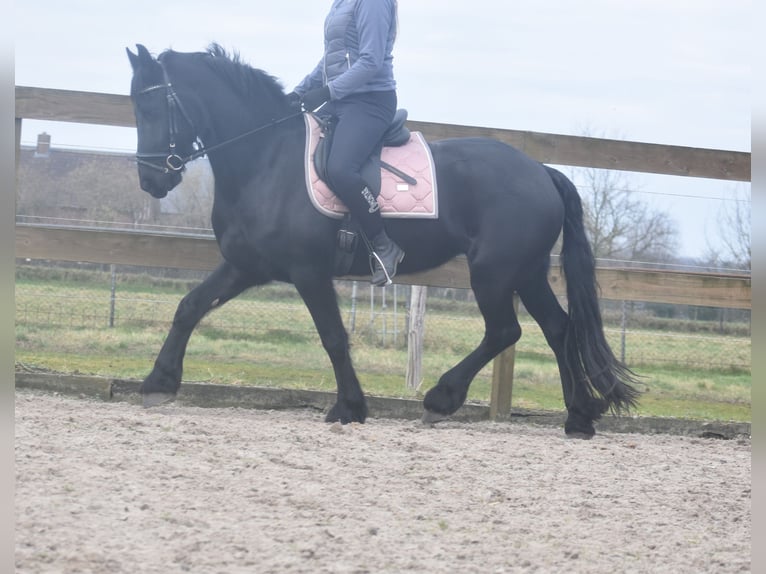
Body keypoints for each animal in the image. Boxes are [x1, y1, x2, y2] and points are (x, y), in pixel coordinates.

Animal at [127, 45, 640, 438]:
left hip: (494, 271)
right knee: (558, 328)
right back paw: (579, 418)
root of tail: (541, 171)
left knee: (505, 331)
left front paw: (350, 407)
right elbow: (189, 307)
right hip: (527, 271)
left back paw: (440, 399)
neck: (267, 159)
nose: (150, 181)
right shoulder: (246, 266)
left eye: (150, 108)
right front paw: (158, 383)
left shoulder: (309, 272)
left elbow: (333, 337)